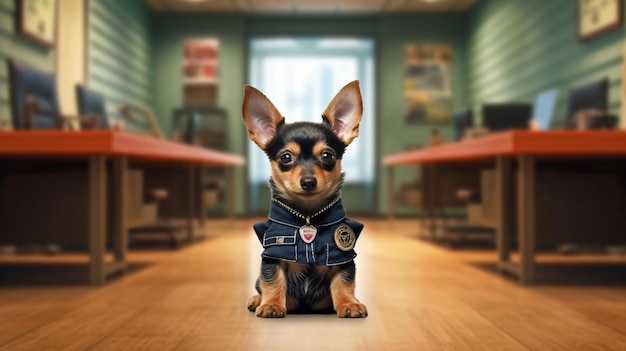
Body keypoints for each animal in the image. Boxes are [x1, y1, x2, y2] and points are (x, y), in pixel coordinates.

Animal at [239, 80, 366, 320]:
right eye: (286, 157)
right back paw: (257, 300)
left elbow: (344, 282)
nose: (308, 181)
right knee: (260, 284)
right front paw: (272, 304)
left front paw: (348, 303)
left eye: (327, 156)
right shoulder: (272, 253)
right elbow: (272, 280)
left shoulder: (342, 255)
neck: (307, 216)